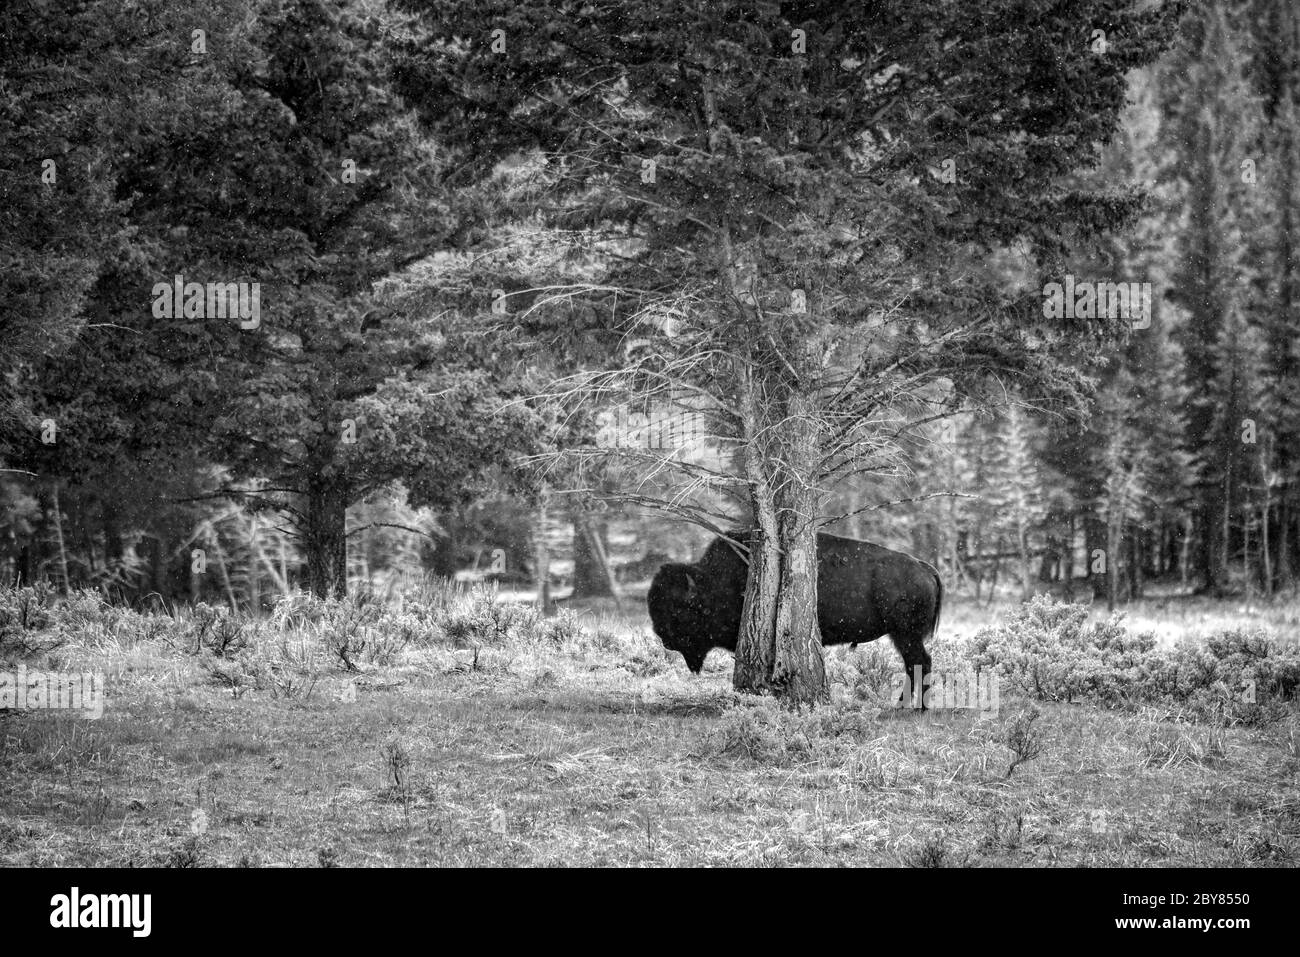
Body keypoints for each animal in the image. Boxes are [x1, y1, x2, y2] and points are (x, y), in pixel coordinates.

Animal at [644, 535, 941, 691]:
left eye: (678, 611)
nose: (664, 640)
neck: (711, 582)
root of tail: (924, 567)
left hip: (905, 635)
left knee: (919, 663)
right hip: (903, 636)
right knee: (916, 664)